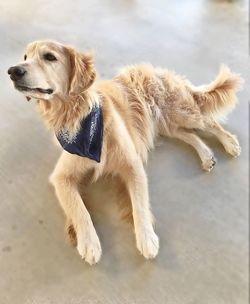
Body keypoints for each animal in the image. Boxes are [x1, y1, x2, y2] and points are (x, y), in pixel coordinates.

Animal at [7, 39, 242, 264]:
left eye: (49, 57)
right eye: (25, 57)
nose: (12, 71)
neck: (76, 115)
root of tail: (154, 69)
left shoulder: (132, 164)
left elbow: (139, 204)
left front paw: (147, 238)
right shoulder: (61, 177)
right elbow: (79, 208)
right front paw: (89, 242)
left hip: (179, 113)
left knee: (208, 122)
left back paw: (230, 143)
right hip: (167, 124)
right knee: (191, 135)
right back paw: (207, 156)